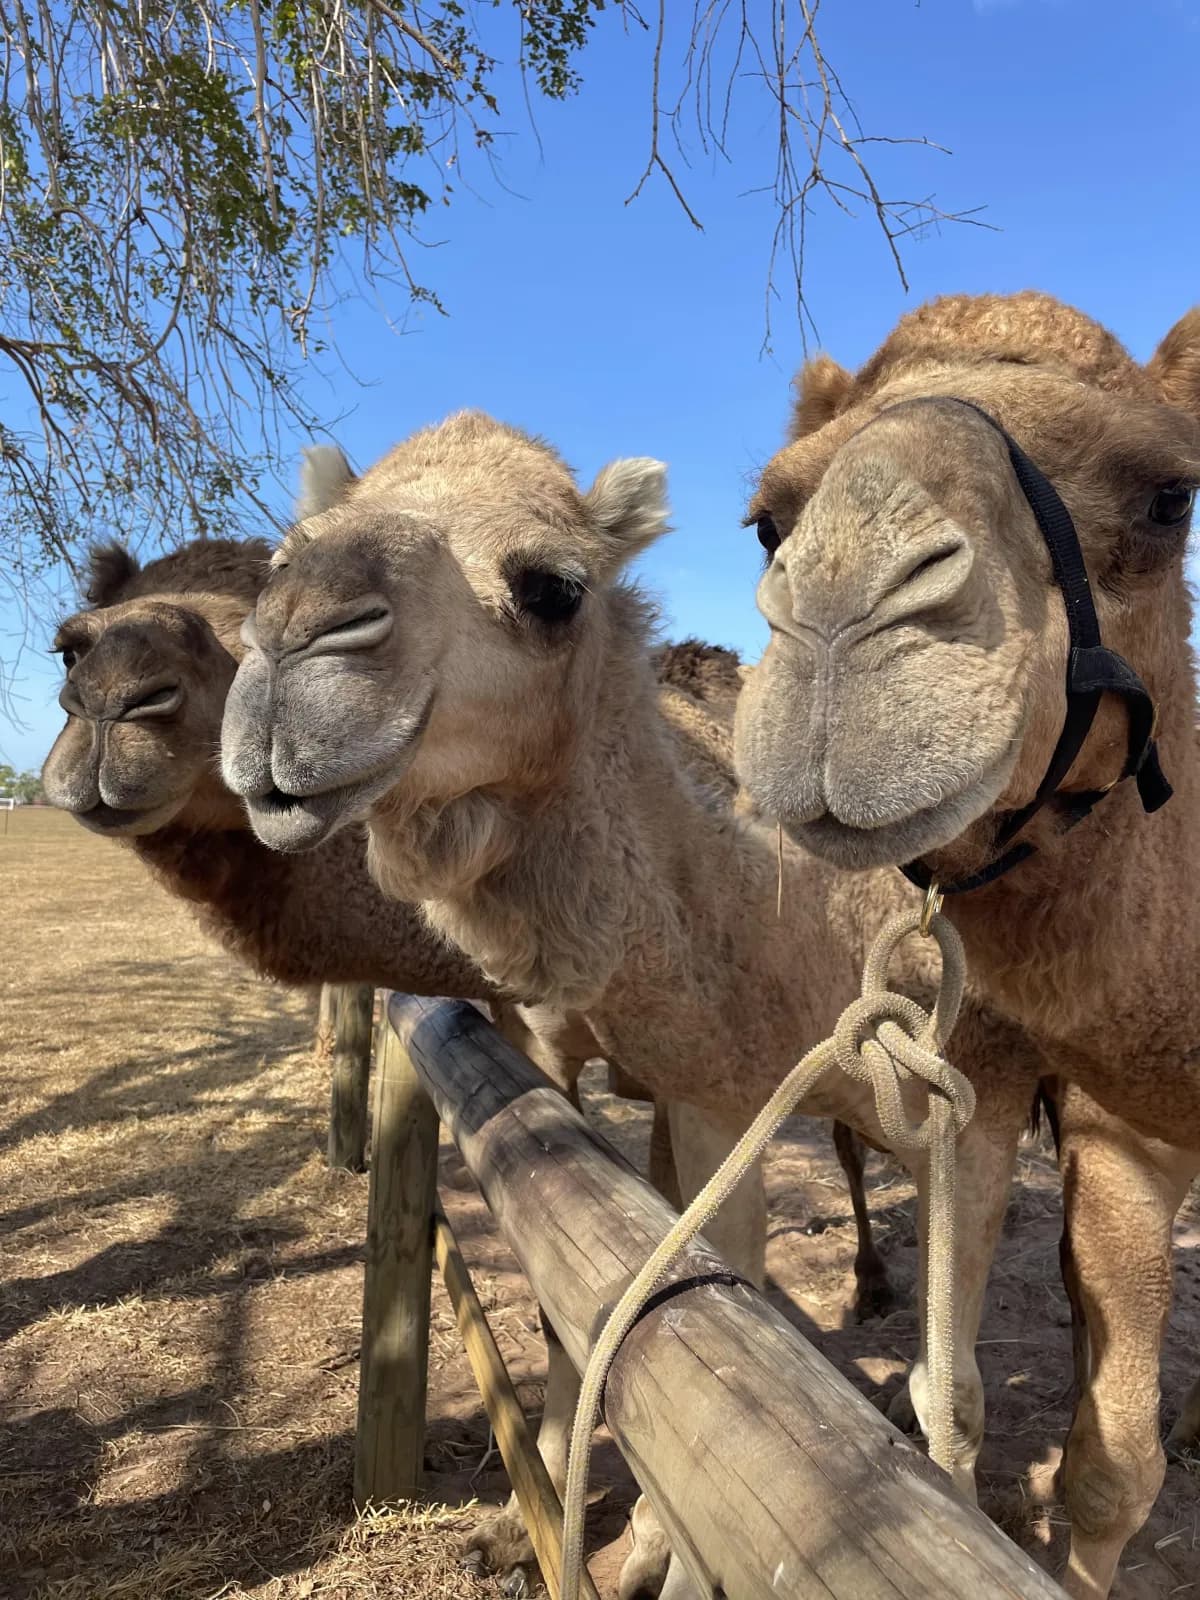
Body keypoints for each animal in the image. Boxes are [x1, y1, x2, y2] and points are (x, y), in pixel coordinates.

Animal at [219, 410, 1045, 1598]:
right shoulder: (604, 1062)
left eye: (553, 586)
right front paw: (521, 1525)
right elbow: (597, 1288)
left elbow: (887, 1366)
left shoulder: (890, 1099)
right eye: (291, 548)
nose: (293, 640)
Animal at [732, 289, 1200, 1599]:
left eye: (1171, 497)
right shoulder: (1034, 1095)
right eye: (767, 521)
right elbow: (980, 1409)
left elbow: (1113, 1467)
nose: (842, 609)